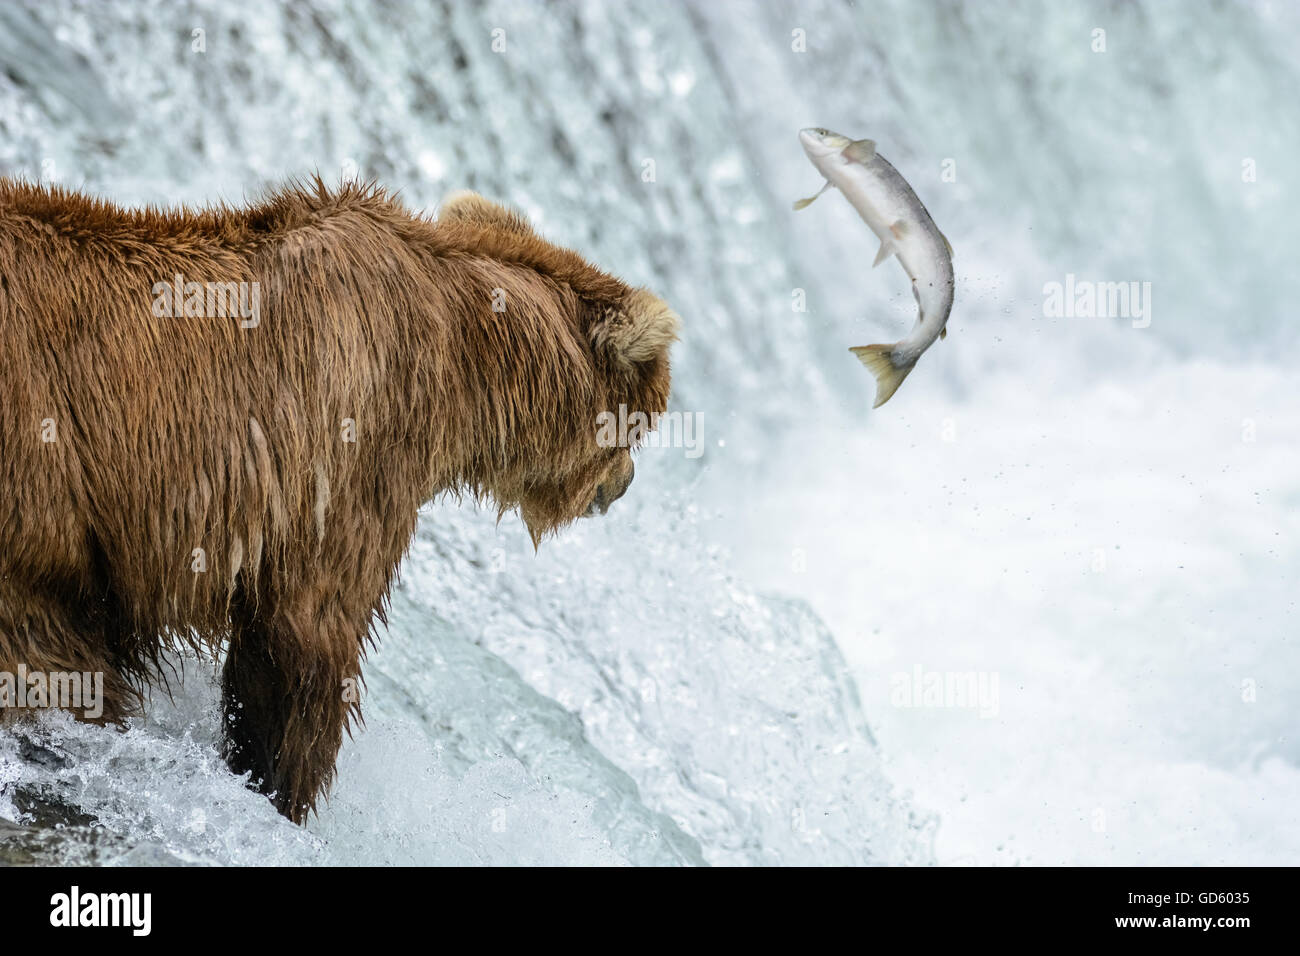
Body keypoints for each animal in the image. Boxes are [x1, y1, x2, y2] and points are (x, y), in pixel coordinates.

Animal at [0, 177, 677, 822]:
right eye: (641, 424)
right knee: (53, 663)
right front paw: (278, 788)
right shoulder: (350, 455)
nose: (624, 484)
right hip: (42, 504)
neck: (467, 363)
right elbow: (307, 640)